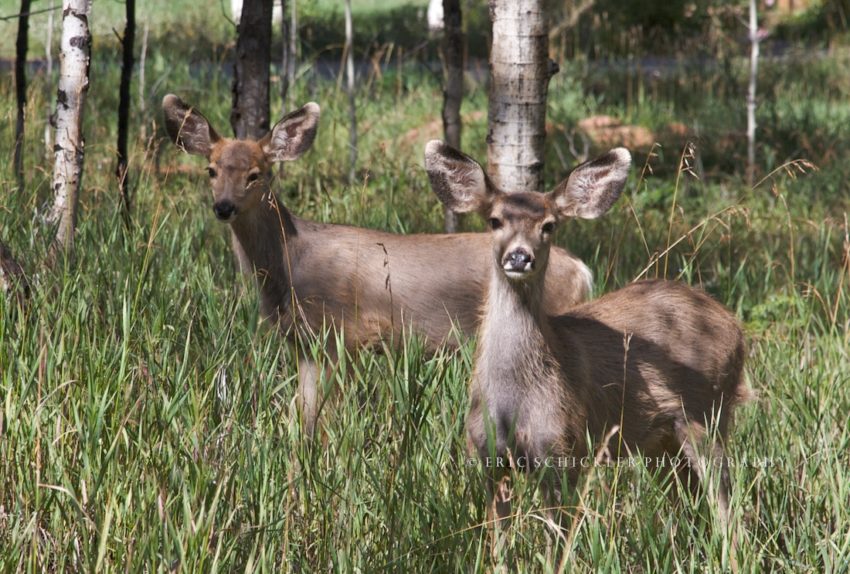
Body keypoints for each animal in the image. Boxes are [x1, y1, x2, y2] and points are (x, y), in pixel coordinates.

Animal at [161, 95, 595, 437]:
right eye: (211, 170)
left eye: (256, 173)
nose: (223, 207)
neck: (291, 263)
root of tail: (582, 270)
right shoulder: (305, 343)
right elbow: (302, 417)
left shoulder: (342, 333)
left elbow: (323, 421)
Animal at [424, 140, 748, 565]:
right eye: (494, 220)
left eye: (549, 225)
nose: (519, 257)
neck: (514, 399)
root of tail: (736, 329)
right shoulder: (488, 457)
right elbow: (498, 544)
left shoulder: (564, 449)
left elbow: (557, 544)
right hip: (660, 442)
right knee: (689, 501)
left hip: (707, 414)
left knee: (726, 504)